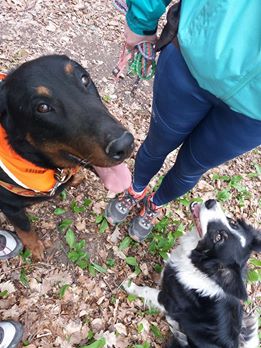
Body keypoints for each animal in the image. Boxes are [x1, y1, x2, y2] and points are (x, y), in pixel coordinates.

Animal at [0, 55, 133, 258]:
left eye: (85, 79)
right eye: (42, 107)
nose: (125, 144)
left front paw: (74, 178)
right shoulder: (9, 206)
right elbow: (24, 227)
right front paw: (34, 247)